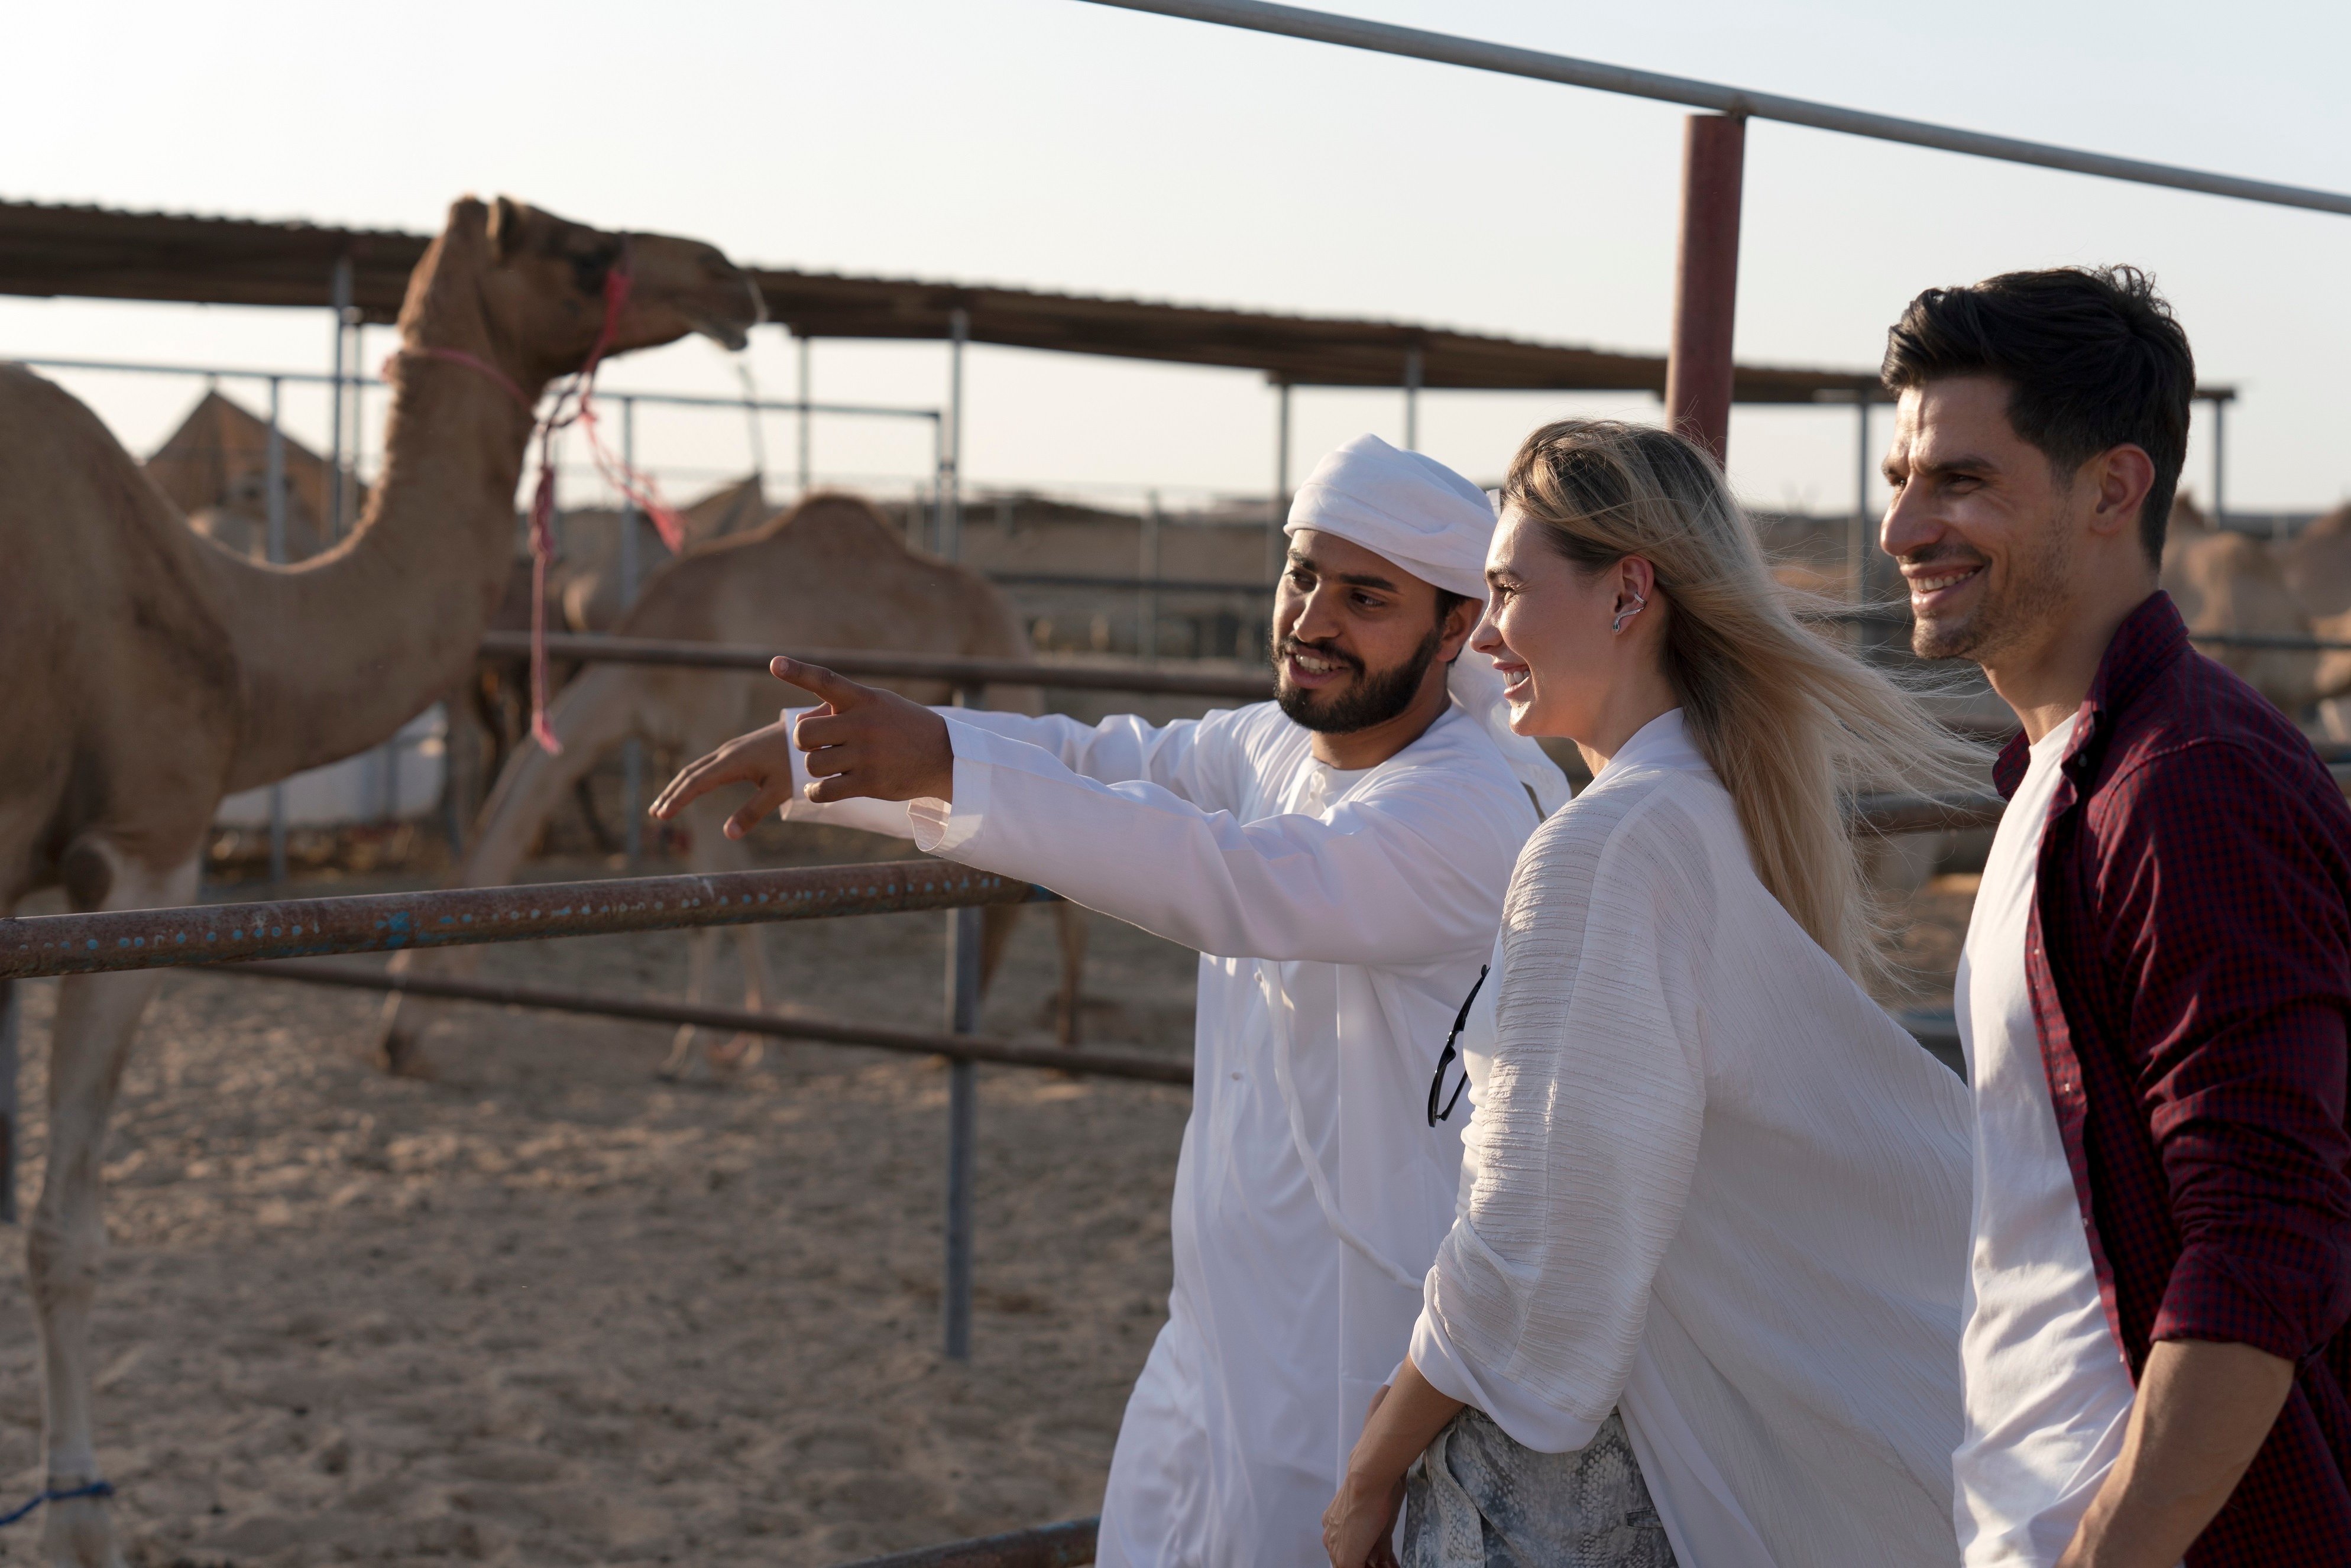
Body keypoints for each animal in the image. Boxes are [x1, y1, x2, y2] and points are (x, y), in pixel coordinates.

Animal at [0, 199, 752, 1568]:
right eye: (578, 245)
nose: (733, 277)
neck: (236, 620)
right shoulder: (142, 850)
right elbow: (63, 1230)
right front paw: (86, 1514)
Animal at [376, 491, 1090, 1081]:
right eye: (397, 964)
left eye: (430, 968)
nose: (391, 1046)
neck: (646, 664)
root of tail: (1009, 610)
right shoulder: (676, 750)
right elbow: (718, 891)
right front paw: (734, 1042)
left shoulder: (702, 735)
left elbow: (718, 897)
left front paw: (709, 1050)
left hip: (1007, 669)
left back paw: (1061, 1048)